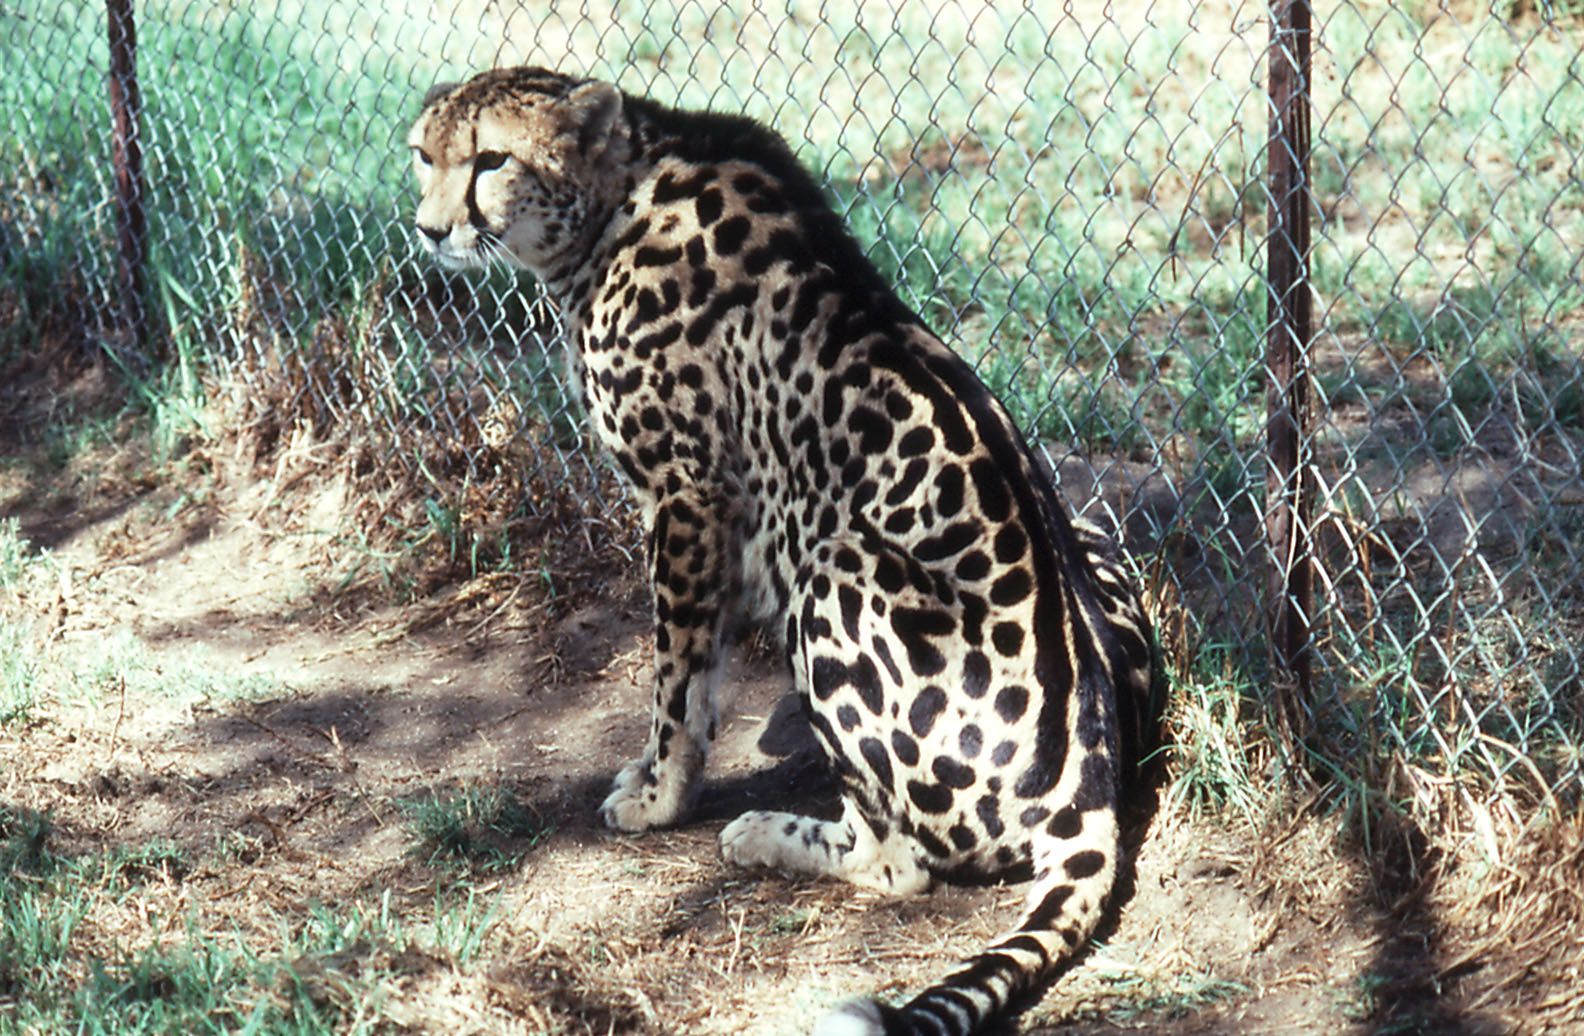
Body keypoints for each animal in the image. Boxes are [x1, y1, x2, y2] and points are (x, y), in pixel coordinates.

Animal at [408, 67, 1160, 1036]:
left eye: (492, 159)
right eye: (425, 155)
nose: (430, 229)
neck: (615, 202)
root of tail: (1092, 784)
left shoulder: (689, 494)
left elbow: (678, 680)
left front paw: (660, 797)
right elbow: (700, 675)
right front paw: (658, 775)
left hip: (834, 568)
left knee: (902, 863)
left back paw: (767, 832)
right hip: (1090, 534)